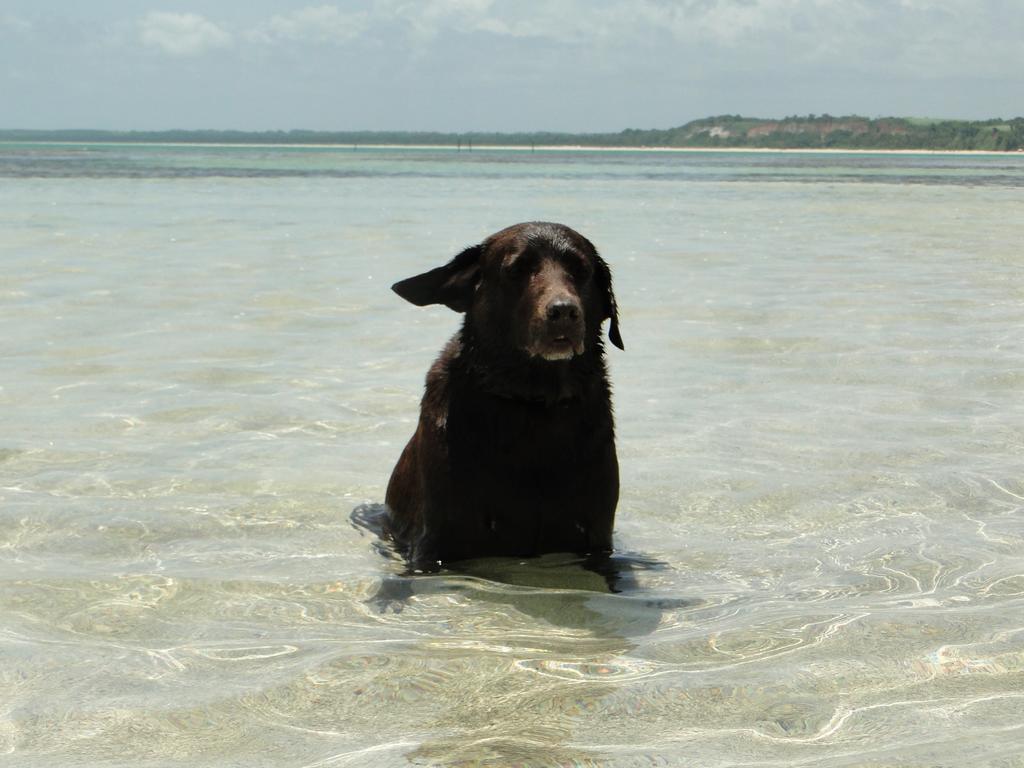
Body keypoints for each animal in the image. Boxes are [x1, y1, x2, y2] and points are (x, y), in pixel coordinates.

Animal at [385, 222, 622, 573]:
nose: (564, 311)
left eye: (581, 271)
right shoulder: (435, 543)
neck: (533, 403)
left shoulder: (596, 537)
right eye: (517, 270)